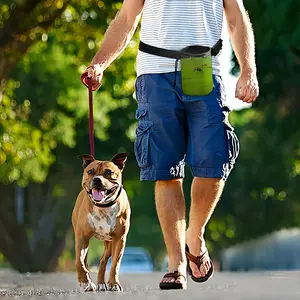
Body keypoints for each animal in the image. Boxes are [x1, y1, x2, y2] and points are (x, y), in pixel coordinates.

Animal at [72, 152, 130, 290]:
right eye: (90, 171)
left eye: (109, 172)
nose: (97, 179)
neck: (103, 206)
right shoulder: (81, 237)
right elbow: (79, 261)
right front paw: (84, 281)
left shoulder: (119, 239)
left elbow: (115, 264)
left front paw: (114, 283)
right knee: (85, 261)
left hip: (109, 242)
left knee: (103, 259)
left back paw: (101, 283)